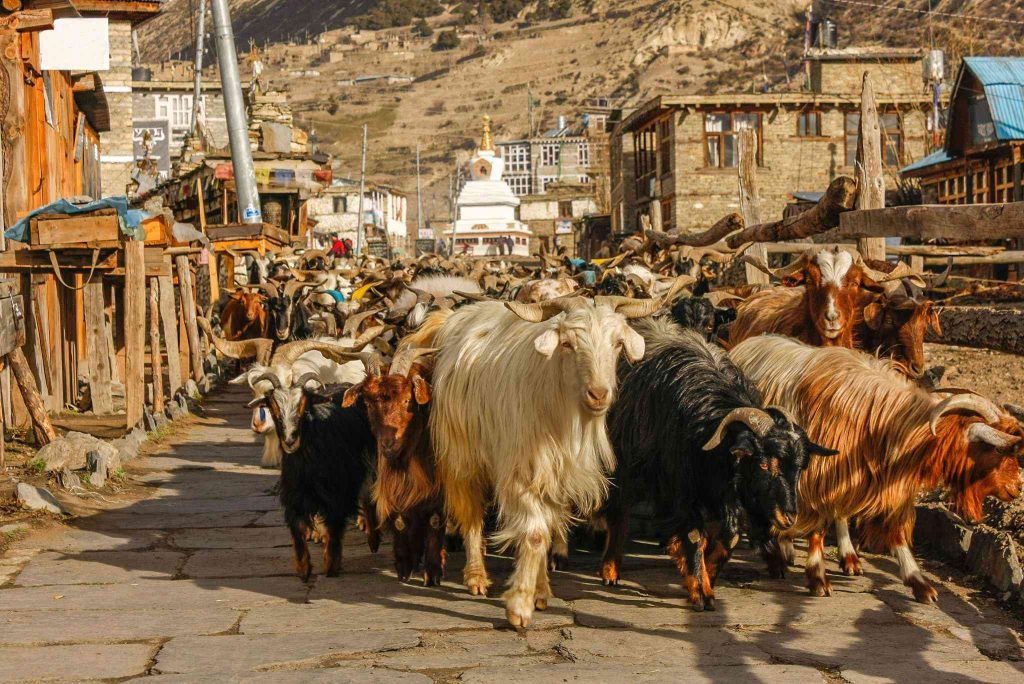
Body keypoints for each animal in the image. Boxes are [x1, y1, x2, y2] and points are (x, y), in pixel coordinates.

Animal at [249, 376, 374, 581]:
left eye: (304, 407)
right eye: (273, 409)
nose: (290, 441)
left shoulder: (336, 493)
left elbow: (335, 527)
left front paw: (331, 566)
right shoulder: (295, 495)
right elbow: (297, 529)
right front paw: (303, 569)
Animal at [342, 350, 446, 585]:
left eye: (408, 400)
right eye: (368, 404)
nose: (388, 444)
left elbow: (435, 521)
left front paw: (433, 572)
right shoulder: (395, 485)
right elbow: (400, 521)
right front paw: (404, 566)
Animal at [602, 319, 835, 610]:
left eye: (799, 469)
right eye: (764, 465)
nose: (789, 517)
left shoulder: (723, 493)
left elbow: (729, 537)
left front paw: (708, 577)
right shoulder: (682, 490)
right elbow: (694, 537)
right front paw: (701, 592)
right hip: (624, 463)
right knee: (618, 511)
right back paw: (610, 570)